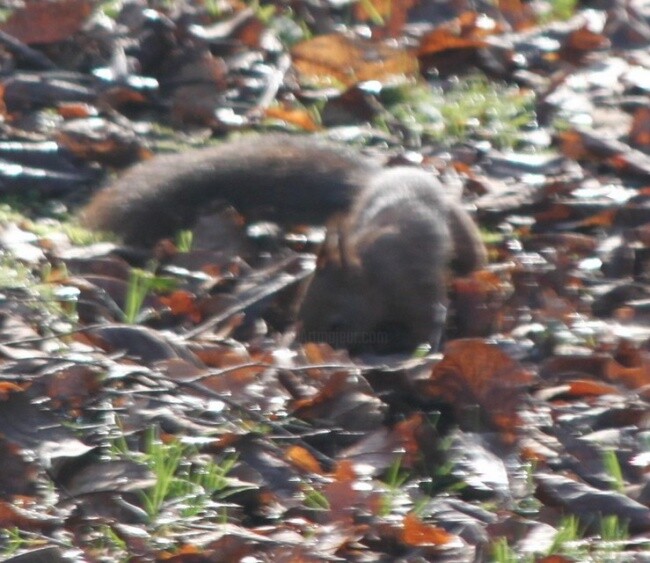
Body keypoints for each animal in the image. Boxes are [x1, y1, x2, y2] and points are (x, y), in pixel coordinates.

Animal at [79, 133, 486, 352]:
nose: (305, 350)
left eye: (338, 324)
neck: (373, 273)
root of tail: (385, 174)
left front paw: (425, 346)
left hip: (461, 232)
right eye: (300, 312)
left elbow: (432, 313)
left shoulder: (415, 284)